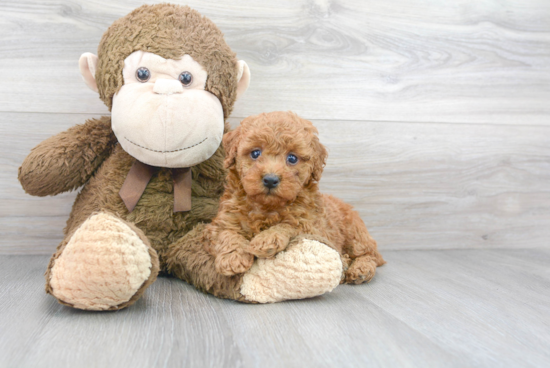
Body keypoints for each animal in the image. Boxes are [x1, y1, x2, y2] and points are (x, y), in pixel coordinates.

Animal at [205, 112, 386, 284]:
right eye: (255, 153)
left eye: (292, 158)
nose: (270, 179)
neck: (266, 208)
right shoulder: (222, 219)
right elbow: (227, 233)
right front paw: (232, 258)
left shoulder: (313, 227)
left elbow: (291, 225)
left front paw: (266, 239)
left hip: (355, 234)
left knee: (370, 255)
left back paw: (359, 269)